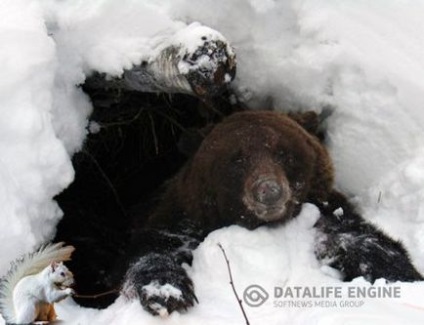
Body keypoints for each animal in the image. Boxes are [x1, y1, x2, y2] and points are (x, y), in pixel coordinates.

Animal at [121, 110, 422, 316]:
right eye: (237, 158)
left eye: (283, 152)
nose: (269, 190)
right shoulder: (183, 219)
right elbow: (156, 248)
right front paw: (167, 293)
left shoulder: (325, 214)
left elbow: (365, 243)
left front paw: (402, 276)